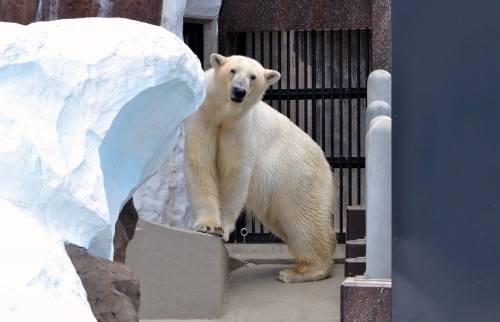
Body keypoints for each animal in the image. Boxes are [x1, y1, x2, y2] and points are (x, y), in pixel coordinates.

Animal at [184, 53, 336, 282]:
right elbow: (200, 164)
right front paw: (209, 226)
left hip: (297, 176)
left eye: (253, 77)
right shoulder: (202, 118)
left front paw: (223, 227)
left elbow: (235, 174)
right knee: (285, 222)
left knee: (303, 220)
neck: (222, 115)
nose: (239, 91)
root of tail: (326, 163)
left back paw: (299, 271)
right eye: (233, 71)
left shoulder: (241, 129)